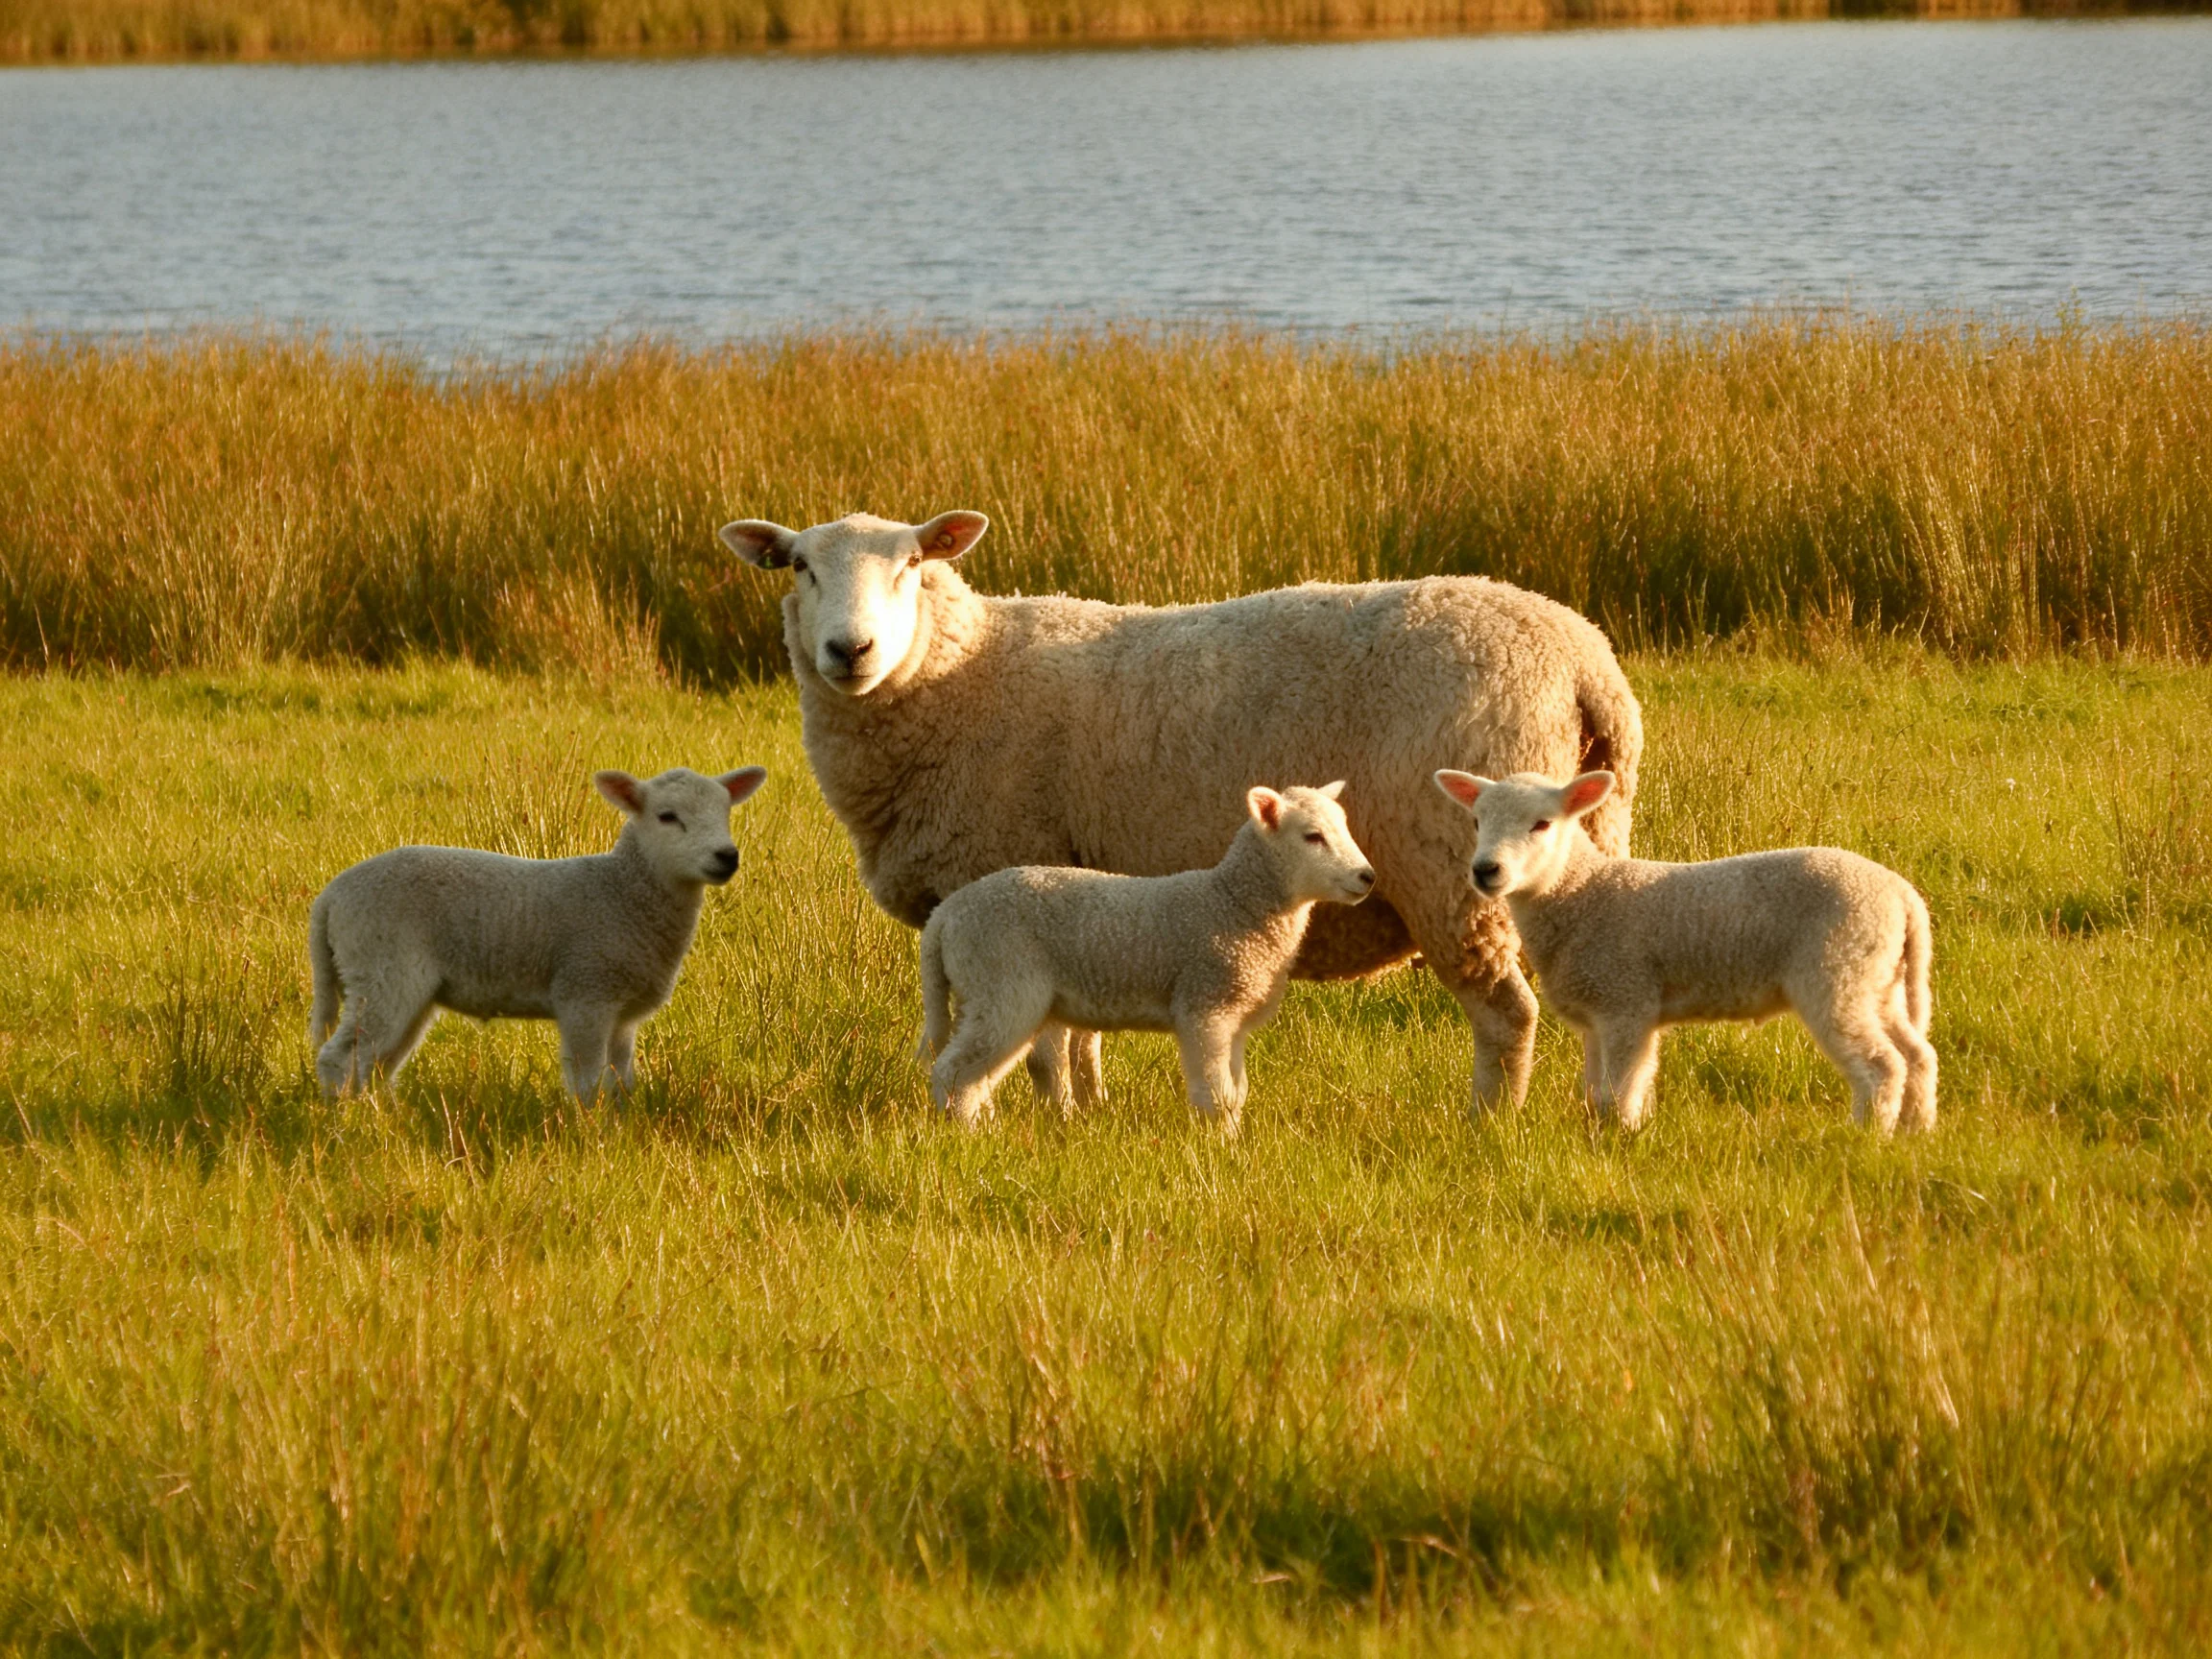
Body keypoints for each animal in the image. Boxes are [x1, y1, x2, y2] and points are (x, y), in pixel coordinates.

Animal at [308, 766, 768, 1101]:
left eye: (726, 812)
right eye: (667, 817)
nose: (726, 856)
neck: (621, 890)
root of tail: (331, 896)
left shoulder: (622, 1014)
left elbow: (622, 1082)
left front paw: (622, 1128)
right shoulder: (585, 993)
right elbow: (588, 1083)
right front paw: (592, 1136)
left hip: (401, 987)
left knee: (374, 1063)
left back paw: (381, 1117)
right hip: (381, 968)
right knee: (339, 1058)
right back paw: (346, 1125)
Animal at [918, 781, 1375, 1133]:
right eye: (1313, 836)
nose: (1367, 877)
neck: (1233, 902)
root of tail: (946, 916)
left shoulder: (1236, 1019)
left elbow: (1238, 1091)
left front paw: (1233, 1139)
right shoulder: (1205, 1006)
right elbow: (1217, 1093)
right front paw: (1224, 1146)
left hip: (983, 991)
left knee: (975, 1070)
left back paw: (985, 1125)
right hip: (1004, 981)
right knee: (955, 1069)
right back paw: (968, 1134)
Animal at [1431, 768, 1936, 1134]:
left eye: (1542, 824)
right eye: (1477, 821)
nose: (1485, 870)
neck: (1582, 892)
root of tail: (1902, 897)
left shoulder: (1626, 1001)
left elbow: (1619, 1091)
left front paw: (1620, 1138)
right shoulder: (1599, 1013)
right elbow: (1597, 1091)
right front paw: (1602, 1133)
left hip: (1837, 970)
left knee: (1882, 1065)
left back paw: (1867, 1137)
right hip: (1878, 978)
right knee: (1918, 1055)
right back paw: (1916, 1131)